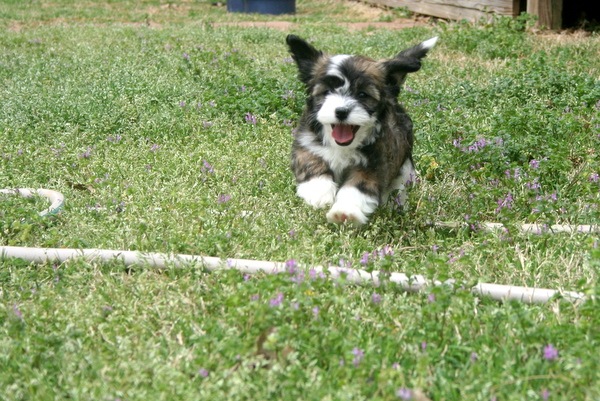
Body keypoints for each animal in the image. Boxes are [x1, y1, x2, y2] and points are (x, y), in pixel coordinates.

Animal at [286, 34, 437, 225]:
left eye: (363, 95)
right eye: (326, 92)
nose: (341, 111)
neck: (343, 147)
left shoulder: (375, 163)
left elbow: (358, 186)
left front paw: (345, 212)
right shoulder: (306, 141)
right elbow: (311, 161)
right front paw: (319, 192)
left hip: (405, 165)